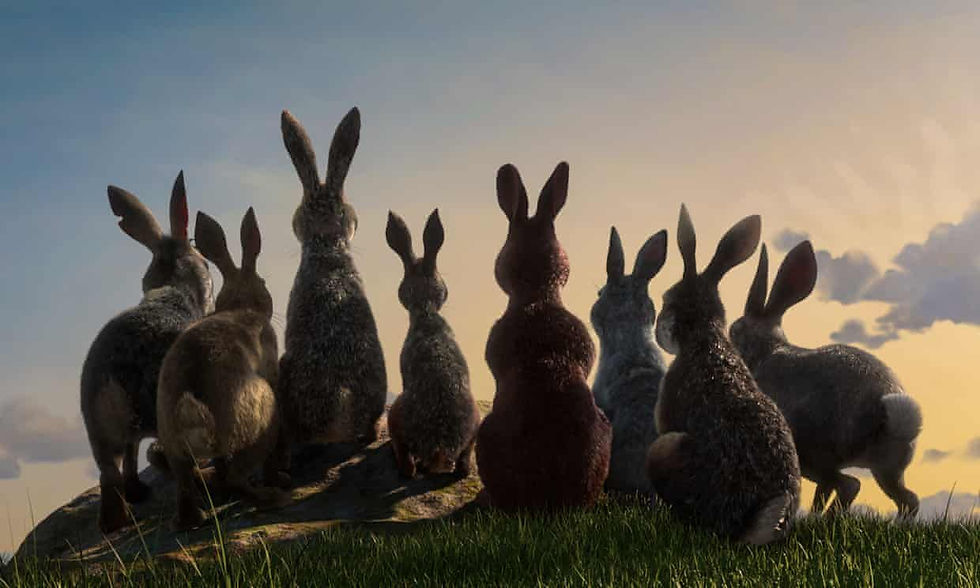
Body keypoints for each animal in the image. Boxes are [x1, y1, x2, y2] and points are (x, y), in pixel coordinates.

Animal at [80, 171, 213, 533]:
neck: (175, 288)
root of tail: (114, 380)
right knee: (179, 467)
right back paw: (194, 518)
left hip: (98, 428)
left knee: (112, 470)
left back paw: (119, 517)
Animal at [157, 208, 287, 530]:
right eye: (264, 281)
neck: (241, 306)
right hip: (261, 419)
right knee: (238, 477)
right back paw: (274, 494)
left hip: (175, 449)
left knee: (187, 486)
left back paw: (193, 520)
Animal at [729, 240, 921, 518]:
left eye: (734, 330)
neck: (766, 348)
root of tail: (887, 415)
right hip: (887, 467)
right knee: (906, 499)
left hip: (810, 454)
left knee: (849, 484)